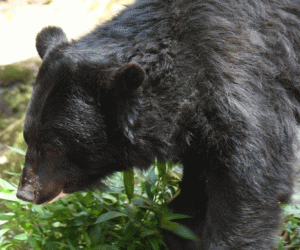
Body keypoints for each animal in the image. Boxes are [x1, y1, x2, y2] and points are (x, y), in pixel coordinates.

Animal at [15, 0, 300, 249]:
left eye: (55, 146)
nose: (25, 193)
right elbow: (185, 209)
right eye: (28, 137)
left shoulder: (240, 80)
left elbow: (252, 182)